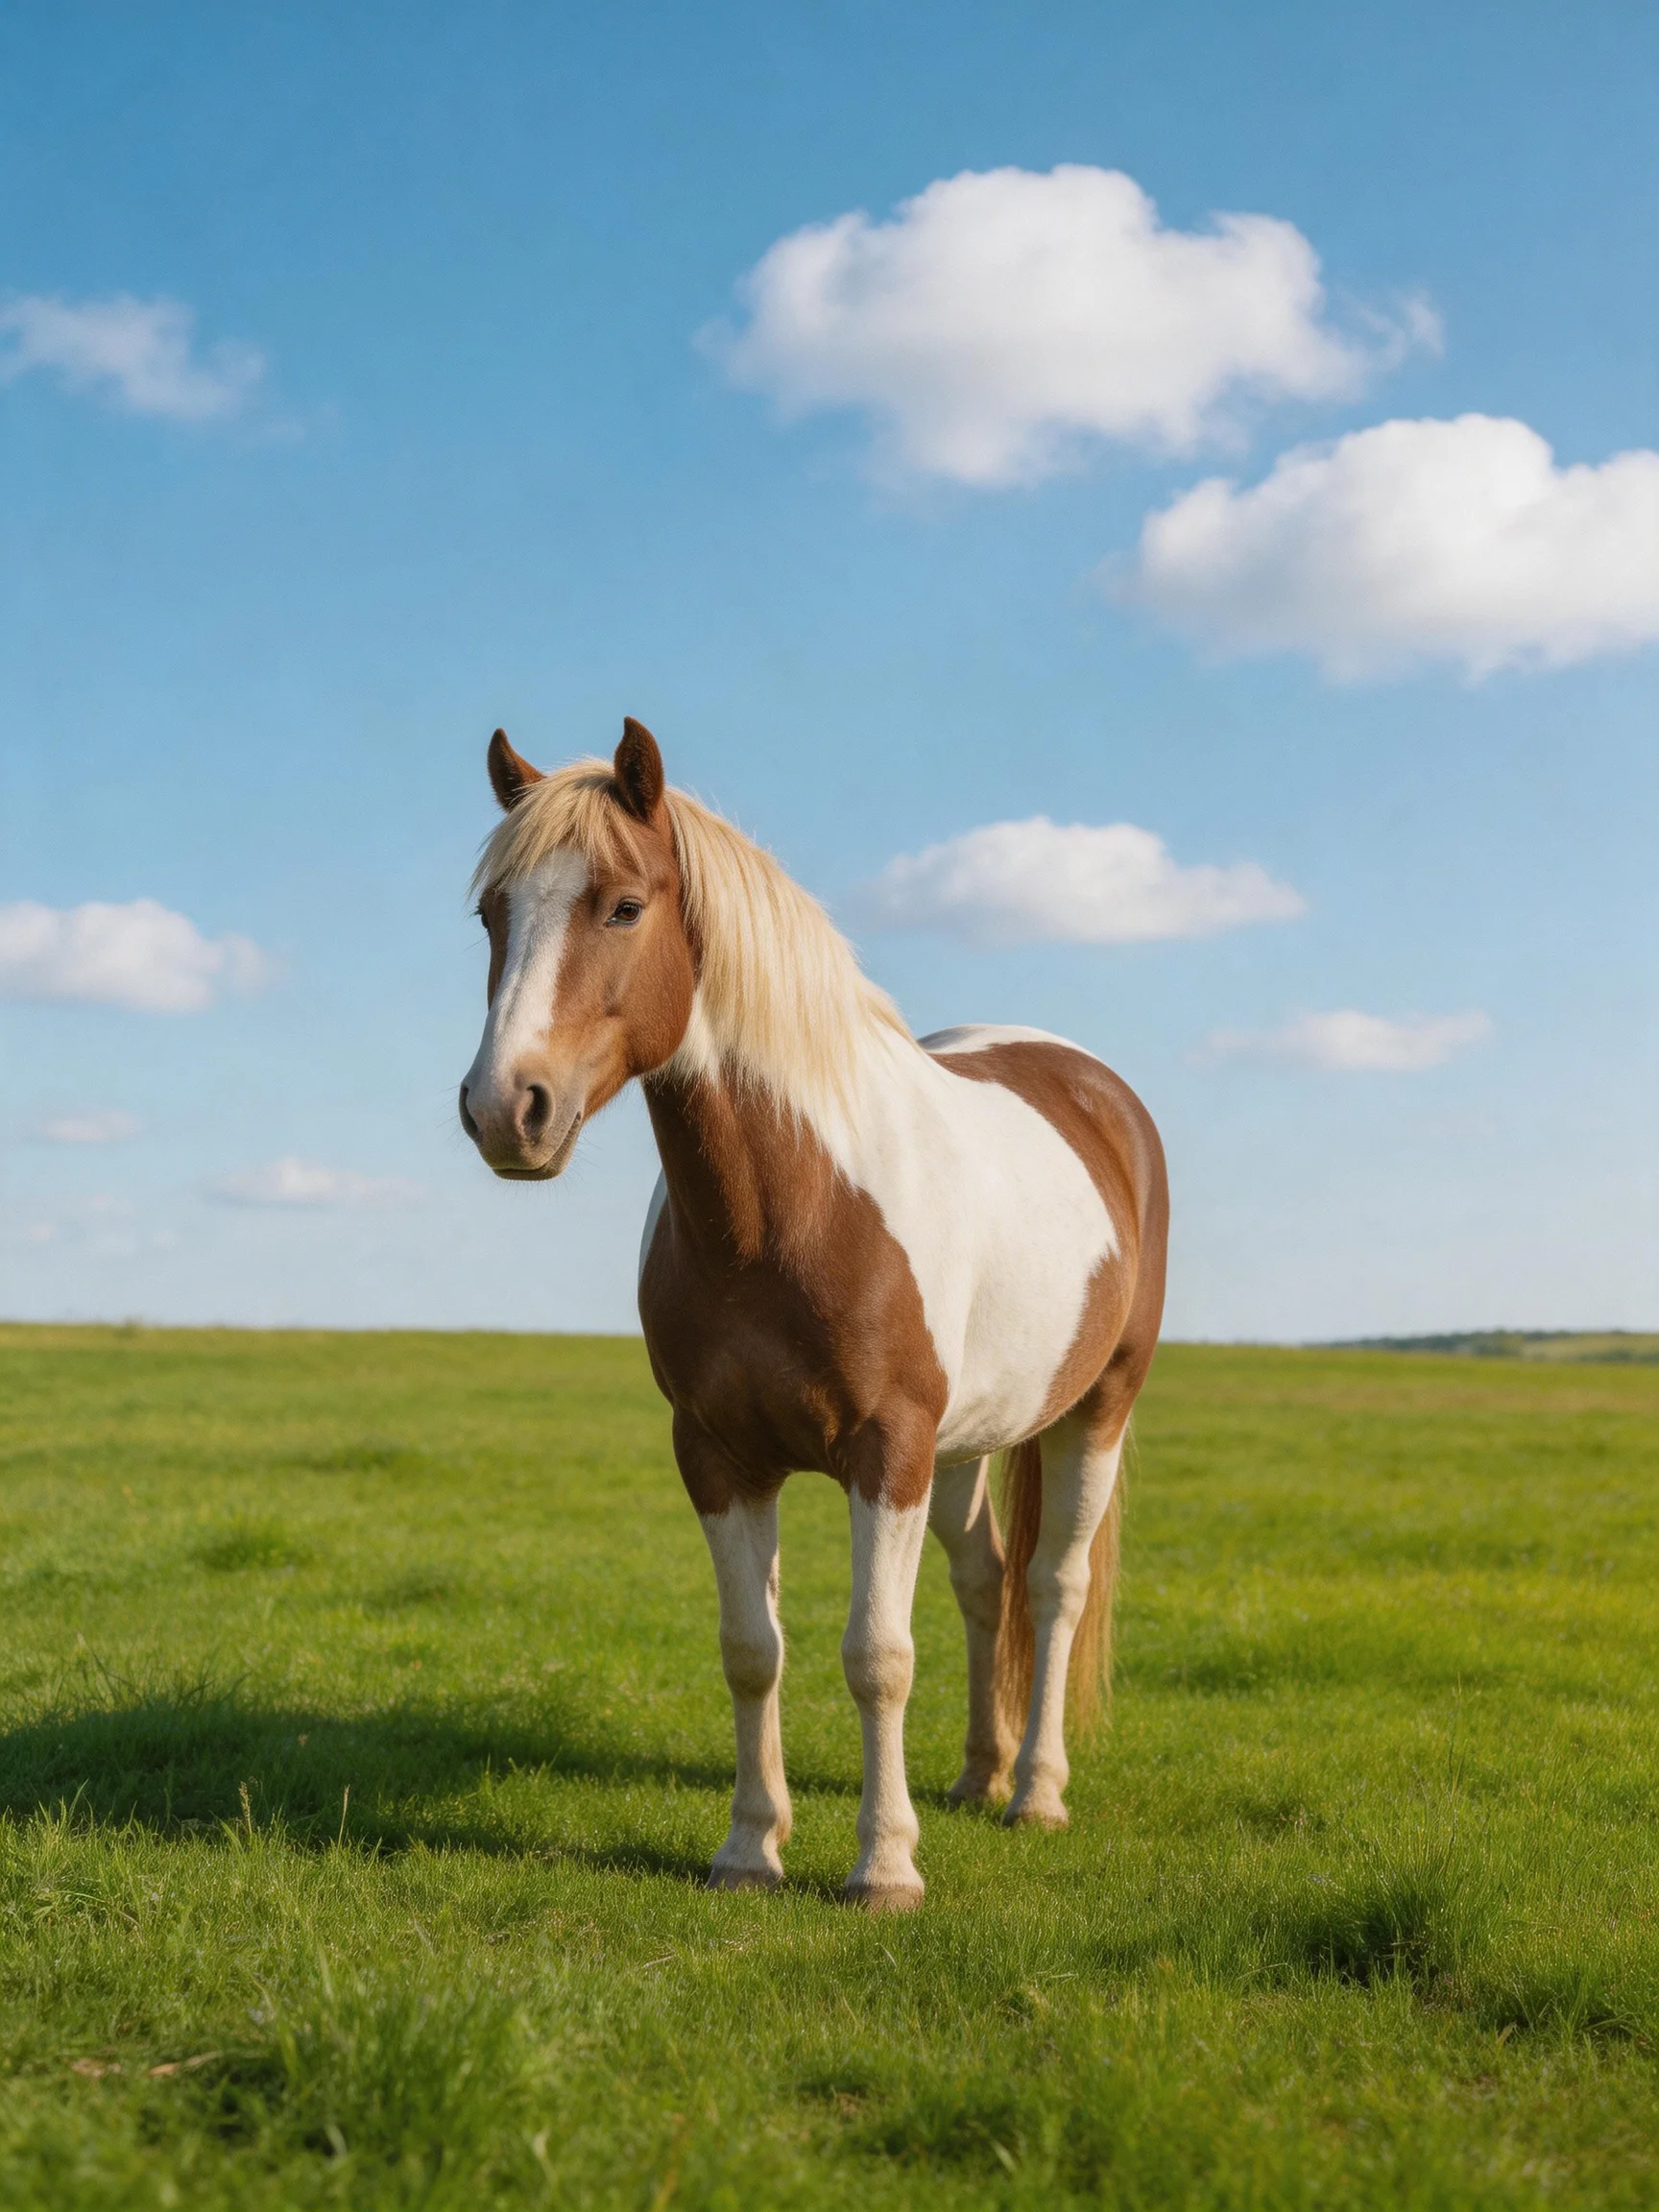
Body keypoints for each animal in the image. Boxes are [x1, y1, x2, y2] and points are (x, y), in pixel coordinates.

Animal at [459, 718, 1168, 1909]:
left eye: (623, 905)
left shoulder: (888, 1450)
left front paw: (884, 1865)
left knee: (1054, 1587)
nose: (506, 1110)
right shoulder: (719, 1454)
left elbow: (876, 1657)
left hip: (1095, 1409)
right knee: (986, 1582)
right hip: (968, 1443)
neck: (786, 1208)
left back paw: (1034, 1793)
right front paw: (751, 1847)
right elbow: (754, 1648)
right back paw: (977, 1776)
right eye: (491, 915)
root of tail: (1091, 1085)